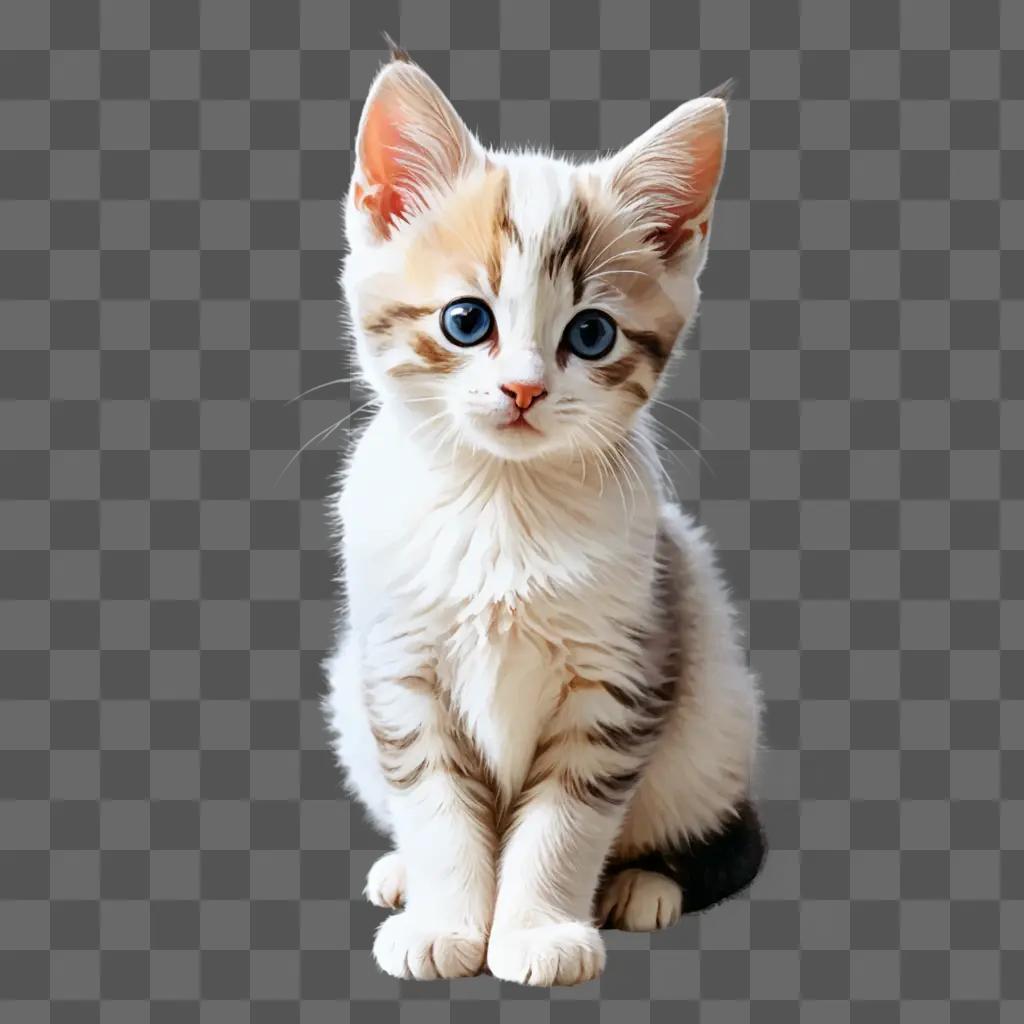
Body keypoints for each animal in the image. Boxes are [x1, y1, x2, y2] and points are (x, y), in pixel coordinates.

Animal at [323, 46, 765, 983]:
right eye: (466, 320)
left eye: (591, 335)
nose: (524, 390)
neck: (502, 504)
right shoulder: (399, 670)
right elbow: (439, 809)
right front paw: (445, 919)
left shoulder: (623, 673)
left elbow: (564, 822)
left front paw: (536, 931)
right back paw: (400, 874)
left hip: (714, 701)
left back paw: (643, 884)